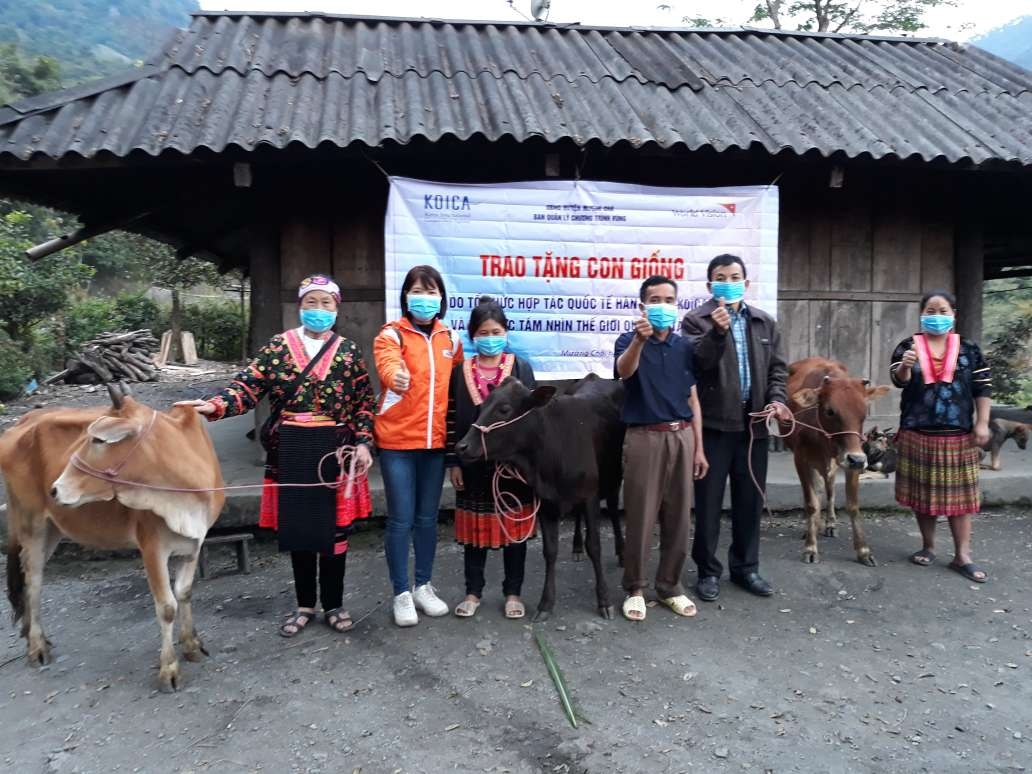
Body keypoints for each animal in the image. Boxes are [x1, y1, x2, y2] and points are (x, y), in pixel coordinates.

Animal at [2, 388, 221, 689]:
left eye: (97, 439)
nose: (55, 490)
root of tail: (22, 421)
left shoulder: (194, 542)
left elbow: (184, 592)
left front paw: (191, 645)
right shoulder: (152, 547)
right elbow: (166, 606)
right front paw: (169, 669)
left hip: (52, 529)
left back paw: (31, 635)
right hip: (32, 524)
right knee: (33, 581)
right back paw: (36, 646)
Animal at [780, 361, 887, 565]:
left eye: (863, 413)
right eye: (830, 411)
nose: (856, 459)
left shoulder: (853, 461)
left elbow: (852, 506)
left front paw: (863, 551)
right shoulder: (801, 460)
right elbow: (811, 503)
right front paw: (810, 547)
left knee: (829, 489)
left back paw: (829, 524)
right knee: (817, 491)